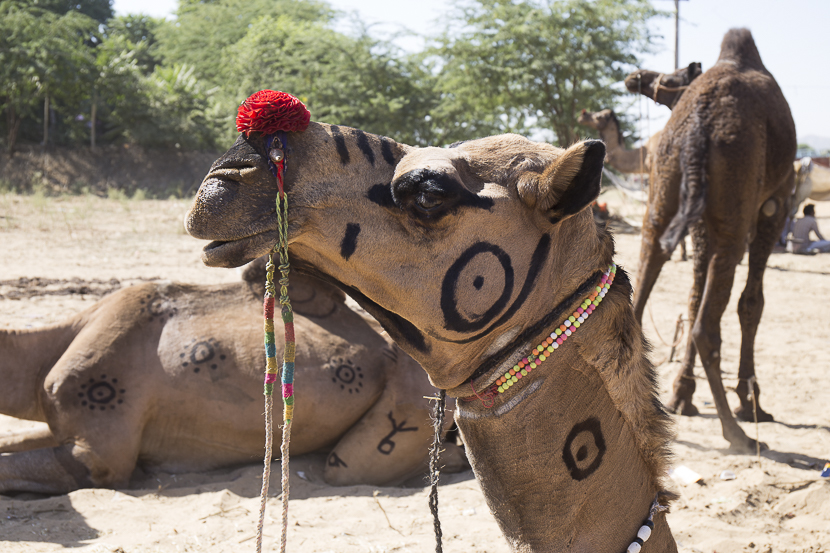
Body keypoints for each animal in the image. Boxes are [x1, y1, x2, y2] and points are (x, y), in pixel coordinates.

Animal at [632, 29, 800, 444]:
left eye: (672, 76)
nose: (635, 78)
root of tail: (698, 127)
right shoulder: (775, 203)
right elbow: (751, 304)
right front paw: (751, 399)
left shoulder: (698, 218)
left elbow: (693, 299)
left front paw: (682, 395)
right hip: (737, 214)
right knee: (708, 326)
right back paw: (736, 433)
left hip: (664, 193)